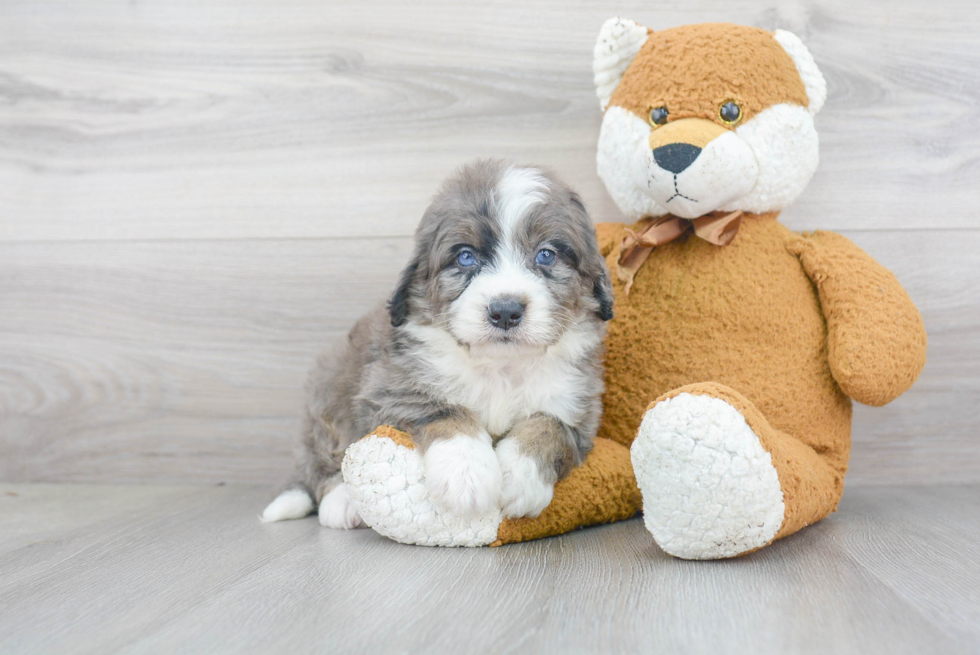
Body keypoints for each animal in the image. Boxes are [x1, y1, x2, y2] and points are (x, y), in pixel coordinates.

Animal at [260, 160, 612, 532]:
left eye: (546, 255)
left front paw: (519, 475)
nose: (505, 311)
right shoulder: (391, 388)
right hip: (329, 393)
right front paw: (466, 476)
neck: (499, 366)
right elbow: (444, 410)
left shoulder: (578, 405)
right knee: (323, 464)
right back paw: (341, 502)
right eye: (466, 257)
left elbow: (549, 425)